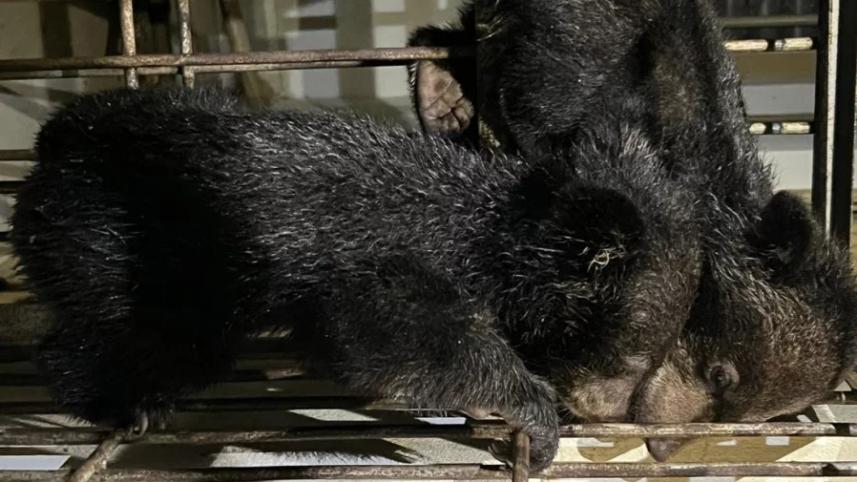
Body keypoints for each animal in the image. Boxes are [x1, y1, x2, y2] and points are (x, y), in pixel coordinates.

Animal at [11, 86, 701, 470]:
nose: (619, 423)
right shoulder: (386, 265)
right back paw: (123, 399)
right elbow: (381, 335)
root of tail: (52, 149)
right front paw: (529, 409)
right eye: (637, 358)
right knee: (137, 334)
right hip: (126, 246)